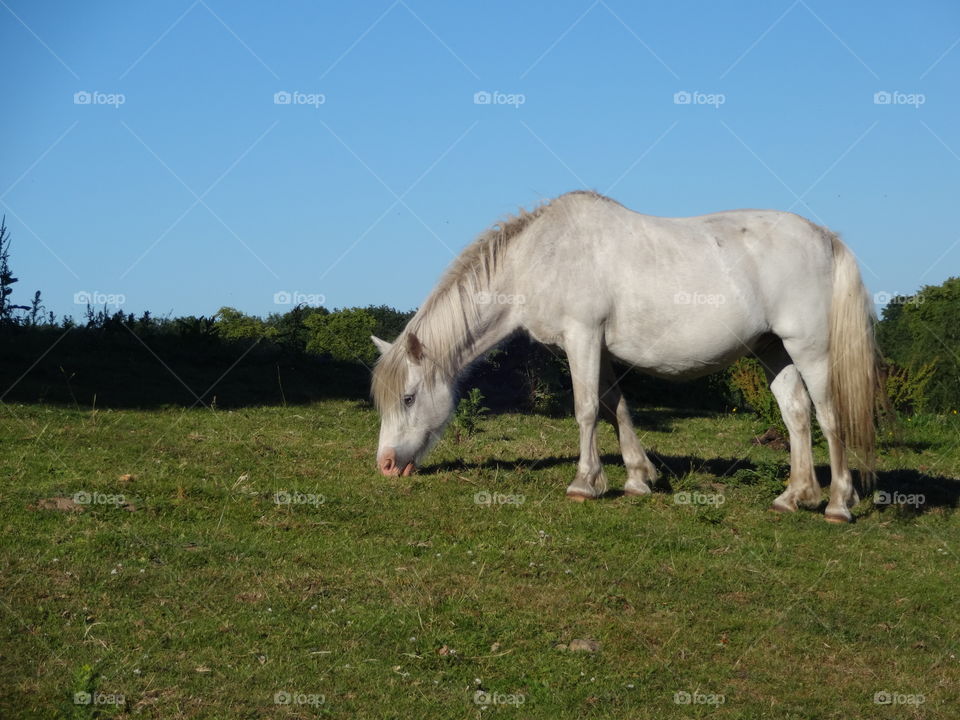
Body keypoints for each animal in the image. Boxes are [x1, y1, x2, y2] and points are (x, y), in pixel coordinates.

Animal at [370, 191, 876, 524]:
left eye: (409, 398)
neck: (541, 256)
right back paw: (794, 496)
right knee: (796, 415)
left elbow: (587, 409)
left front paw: (584, 484)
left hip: (809, 348)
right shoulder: (598, 349)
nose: (386, 466)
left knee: (828, 417)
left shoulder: (582, 337)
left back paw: (837, 504)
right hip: (774, 350)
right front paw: (637, 478)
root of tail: (824, 237)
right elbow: (618, 407)